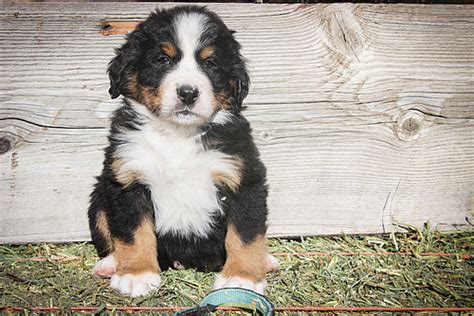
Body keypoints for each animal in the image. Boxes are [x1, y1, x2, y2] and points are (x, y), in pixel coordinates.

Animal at [88, 5, 278, 298]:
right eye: (162, 60)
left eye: (210, 64)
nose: (188, 93)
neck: (178, 135)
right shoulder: (127, 179)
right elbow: (133, 233)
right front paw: (135, 274)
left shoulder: (243, 178)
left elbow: (245, 235)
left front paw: (241, 277)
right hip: (99, 198)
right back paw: (109, 265)